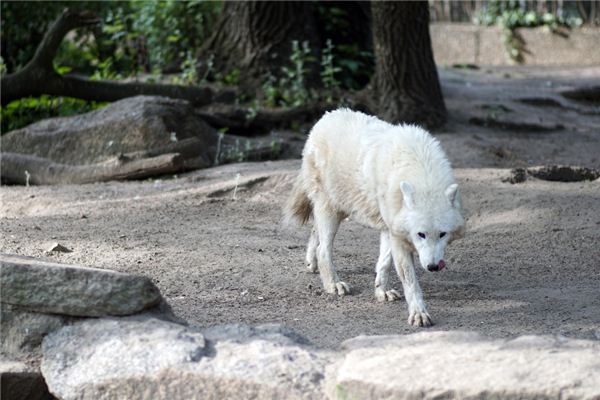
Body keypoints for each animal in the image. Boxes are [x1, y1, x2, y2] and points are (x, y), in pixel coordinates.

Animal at [284, 108, 466, 324]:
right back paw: (333, 284)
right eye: (421, 234)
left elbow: (384, 263)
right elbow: (410, 281)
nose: (433, 267)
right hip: (331, 211)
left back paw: (311, 264)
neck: (422, 172)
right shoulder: (399, 238)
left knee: (315, 232)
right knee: (323, 249)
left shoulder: (390, 229)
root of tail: (325, 117)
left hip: (340, 209)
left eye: (442, 234)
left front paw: (382, 291)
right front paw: (419, 314)